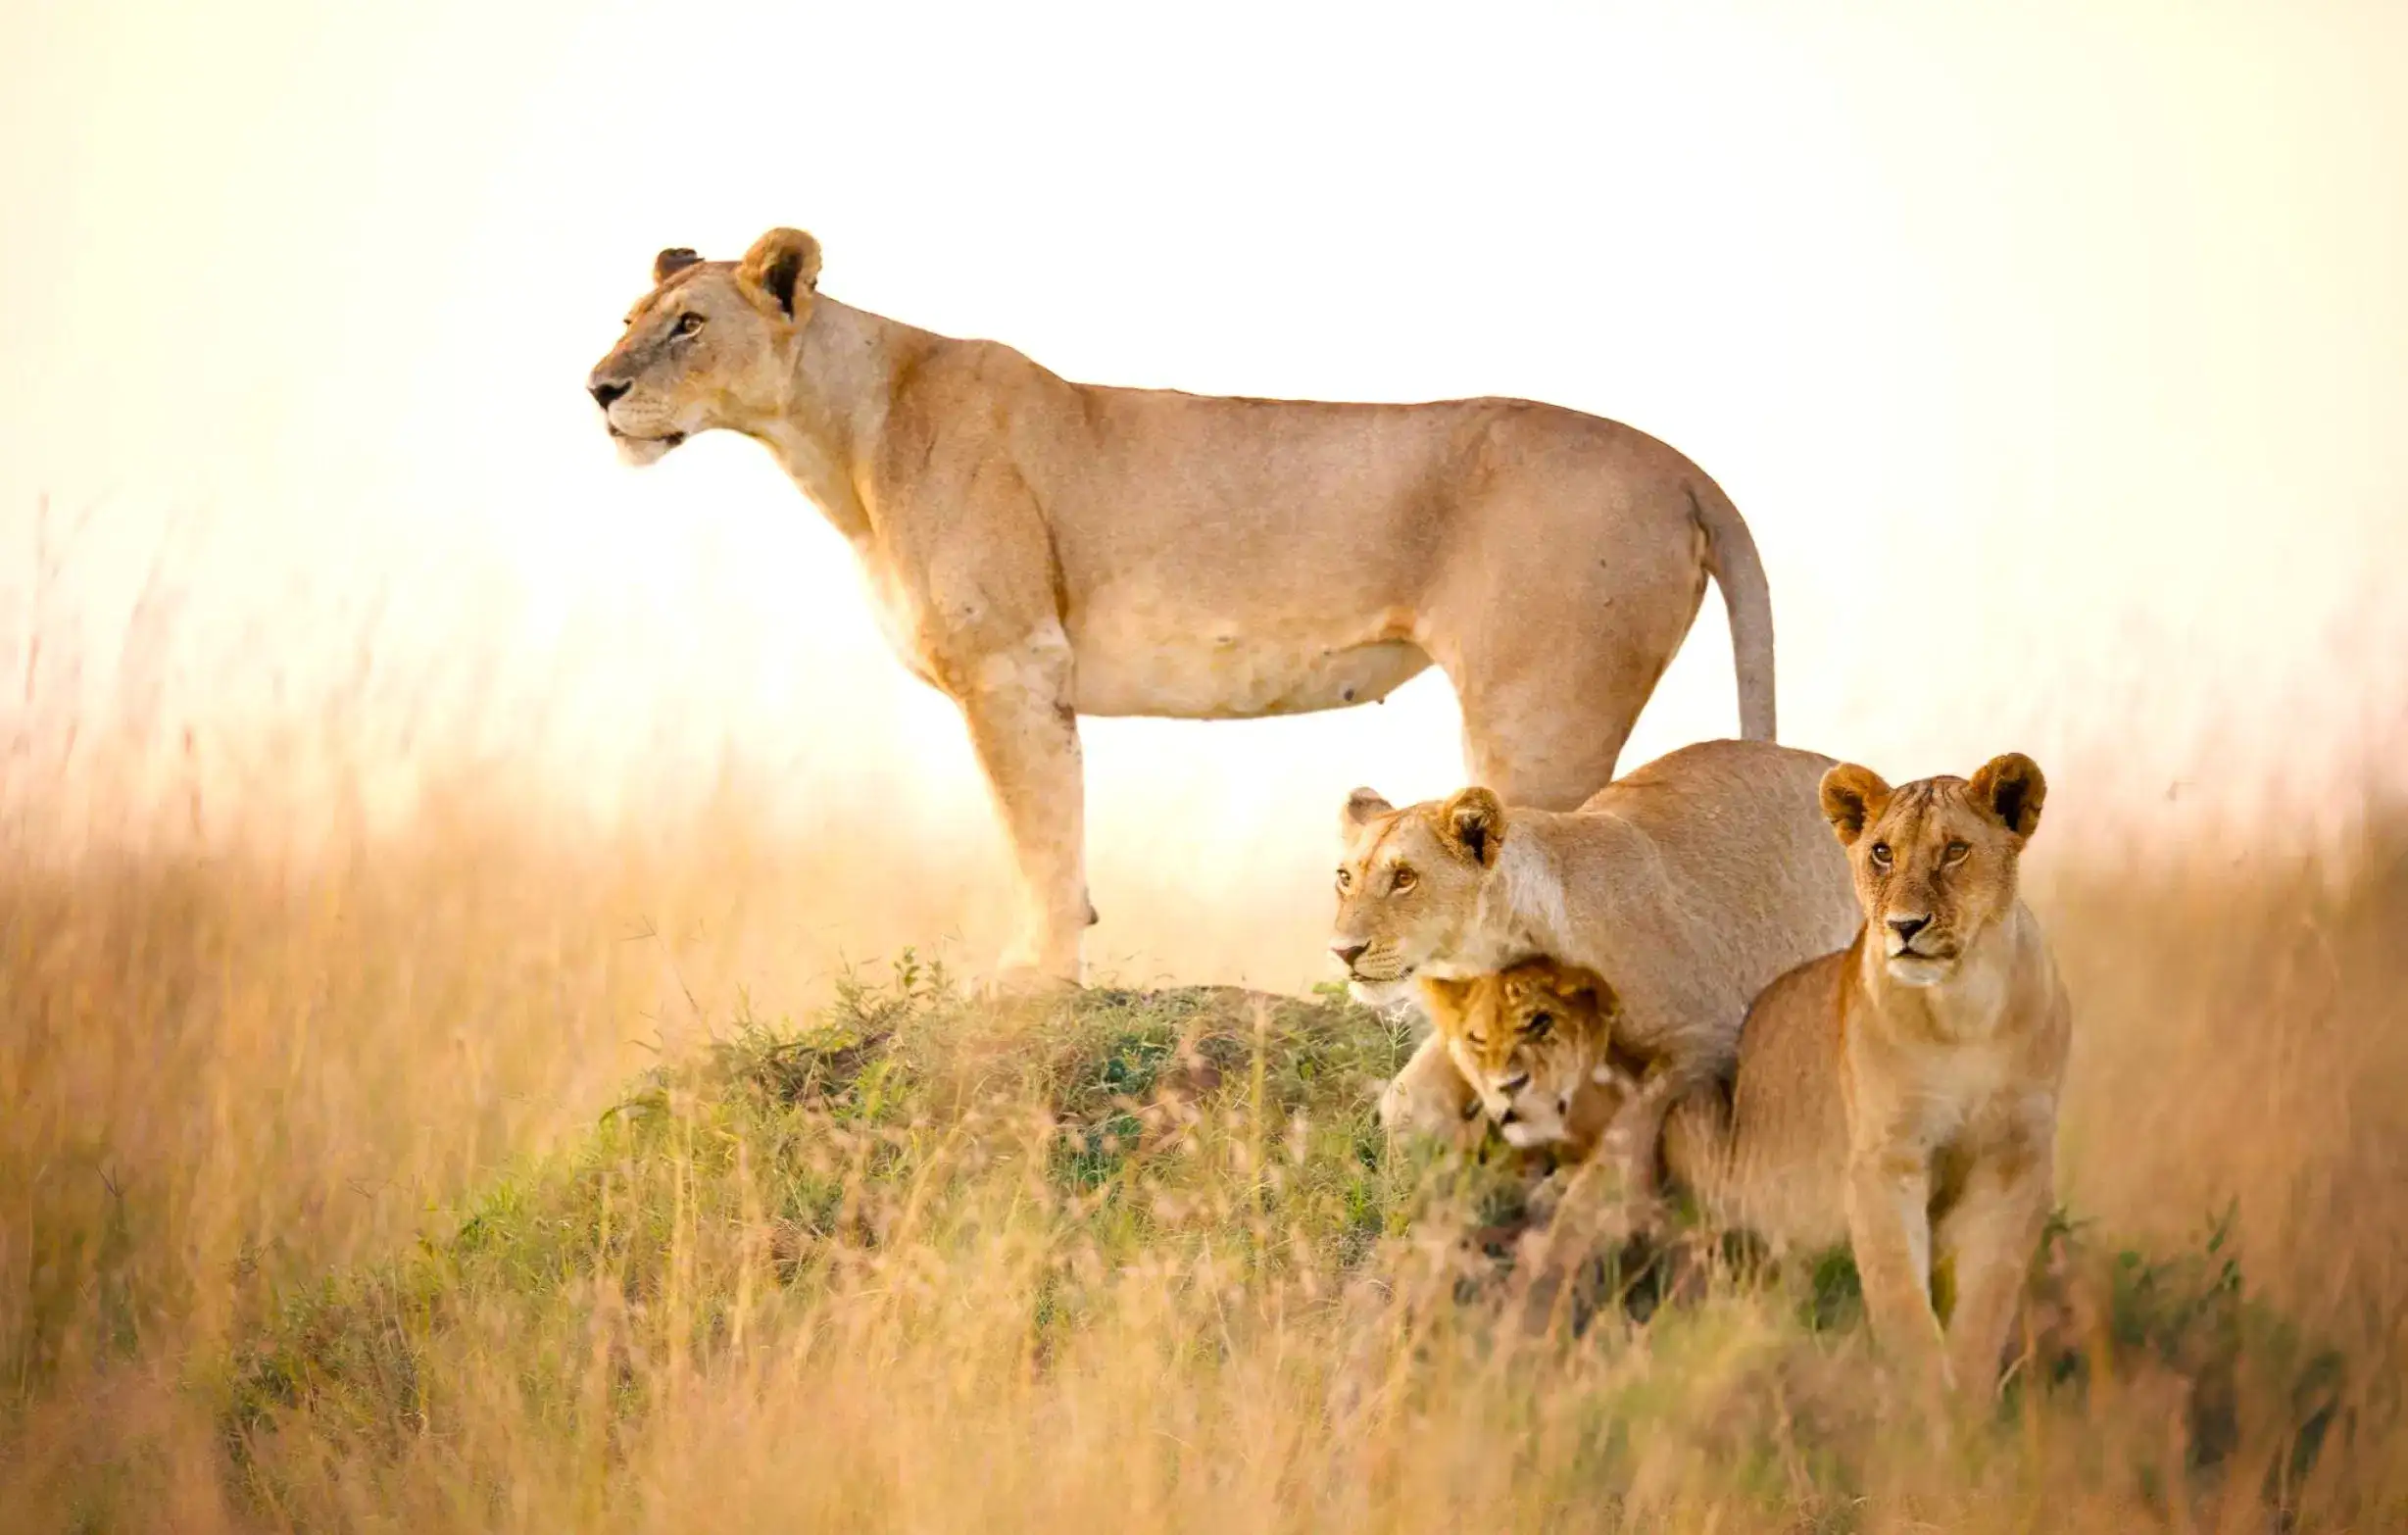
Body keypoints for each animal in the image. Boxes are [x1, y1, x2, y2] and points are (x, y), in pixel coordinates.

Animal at [588, 228, 1781, 986]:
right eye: (631, 317)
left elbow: (1038, 834)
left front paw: (1032, 980)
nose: (598, 388)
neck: (835, 432)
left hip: (1538, 706)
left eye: (688, 324)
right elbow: (1050, 835)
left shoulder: (1011, 664)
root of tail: (1683, 465)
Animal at [1342, 737, 1861, 1196]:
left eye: (1405, 878)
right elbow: (1406, 1099)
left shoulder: (1708, 1034)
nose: (1342, 950)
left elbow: (1627, 1139)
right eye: (1344, 878)